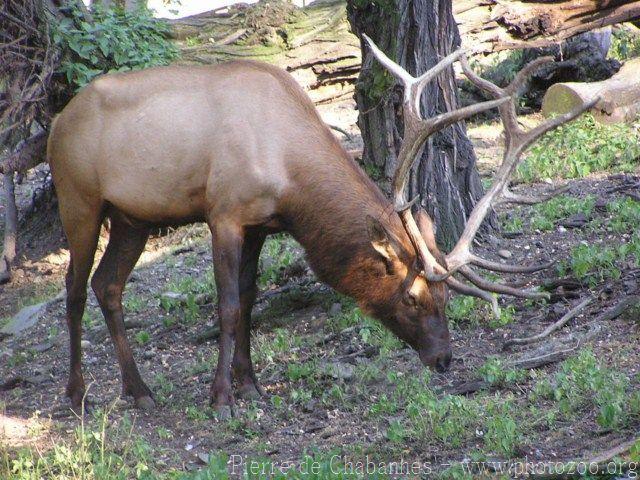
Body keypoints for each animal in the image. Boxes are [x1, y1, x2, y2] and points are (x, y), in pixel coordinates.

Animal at [47, 34, 592, 416]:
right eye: (413, 297)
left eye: (445, 297)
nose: (444, 359)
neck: (291, 181)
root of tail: (55, 123)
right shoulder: (224, 212)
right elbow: (227, 305)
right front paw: (221, 397)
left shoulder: (261, 225)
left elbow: (249, 300)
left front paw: (251, 384)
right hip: (78, 199)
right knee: (74, 287)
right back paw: (76, 395)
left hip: (133, 217)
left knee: (107, 284)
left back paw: (139, 390)